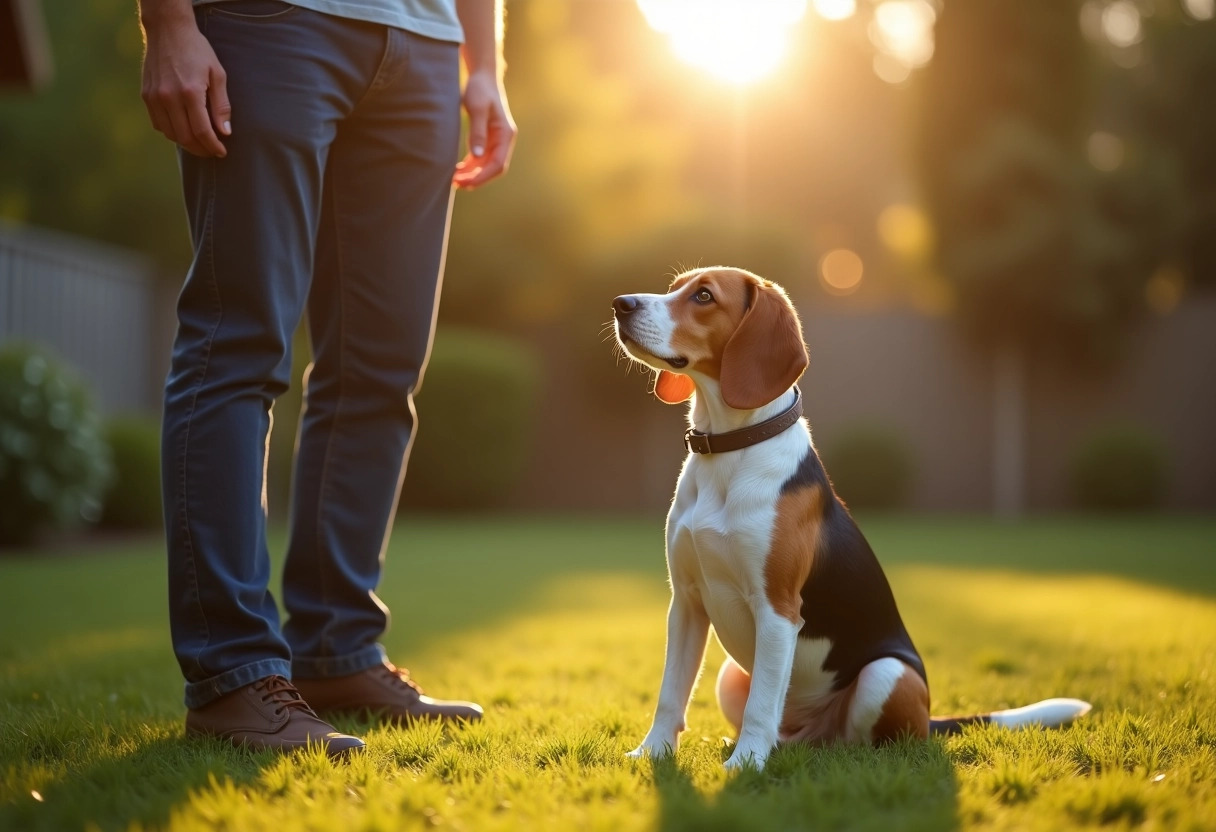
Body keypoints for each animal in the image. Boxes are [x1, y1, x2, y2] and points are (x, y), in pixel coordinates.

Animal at [612, 266, 1089, 768]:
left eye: (704, 296)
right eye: (674, 287)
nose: (621, 304)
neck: (729, 448)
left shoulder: (777, 609)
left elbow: (762, 703)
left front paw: (745, 766)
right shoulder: (685, 603)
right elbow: (671, 693)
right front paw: (651, 753)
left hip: (886, 674)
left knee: (861, 740)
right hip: (729, 674)